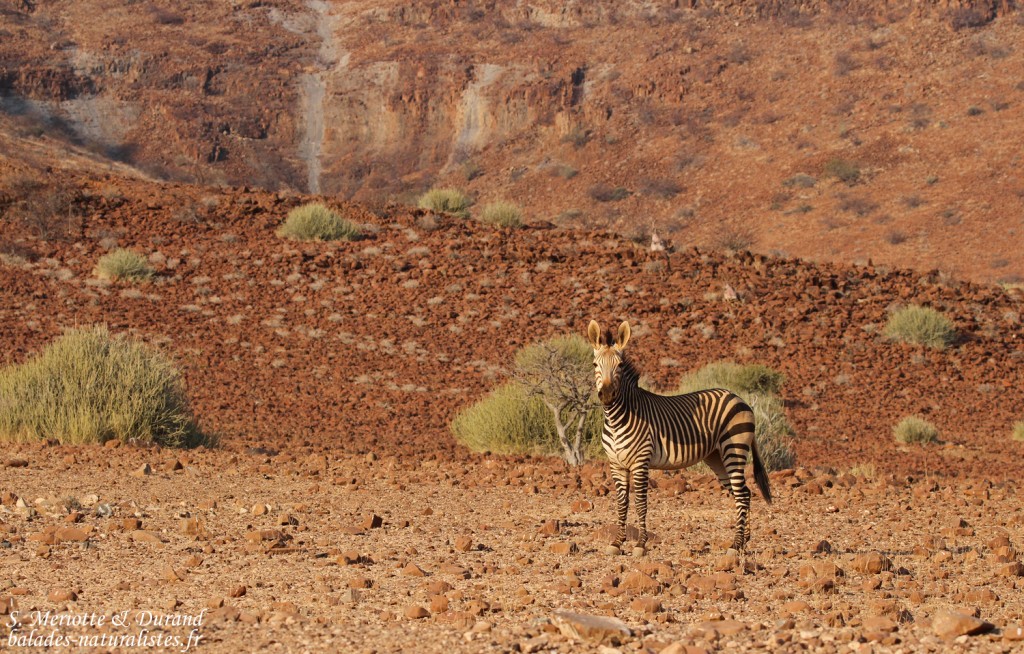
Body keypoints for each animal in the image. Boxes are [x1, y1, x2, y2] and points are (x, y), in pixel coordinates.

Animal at [587, 319, 772, 553]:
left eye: (619, 366)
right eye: (595, 365)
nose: (607, 395)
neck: (616, 418)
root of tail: (739, 397)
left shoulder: (640, 462)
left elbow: (640, 503)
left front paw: (640, 544)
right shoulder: (616, 465)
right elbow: (622, 504)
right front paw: (618, 542)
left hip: (734, 448)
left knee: (741, 493)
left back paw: (736, 544)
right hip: (716, 457)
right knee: (745, 493)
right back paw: (744, 541)